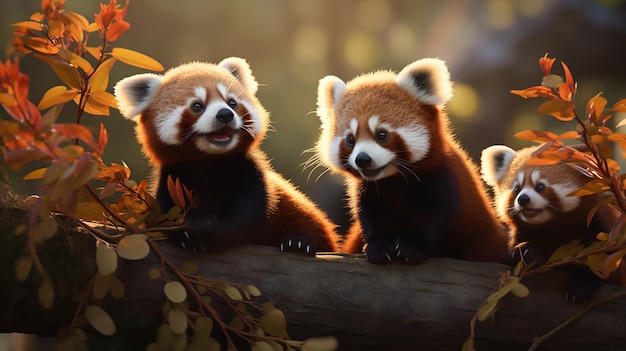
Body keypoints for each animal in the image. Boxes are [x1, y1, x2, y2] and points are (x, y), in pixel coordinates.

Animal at [111, 57, 336, 256]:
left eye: (232, 102)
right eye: (197, 106)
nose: (225, 114)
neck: (209, 163)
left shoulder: (249, 172)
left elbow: (245, 213)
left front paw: (210, 230)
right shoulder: (173, 178)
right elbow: (164, 214)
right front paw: (184, 233)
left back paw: (297, 243)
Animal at [314, 57, 510, 266]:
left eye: (381, 134)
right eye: (351, 139)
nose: (362, 159)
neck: (394, 179)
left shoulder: (441, 175)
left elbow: (437, 214)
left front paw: (413, 246)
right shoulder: (368, 189)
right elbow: (370, 215)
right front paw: (378, 246)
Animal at [480, 144, 620, 304]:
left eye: (540, 187)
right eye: (517, 189)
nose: (523, 199)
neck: (550, 227)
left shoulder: (596, 227)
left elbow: (604, 261)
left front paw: (581, 285)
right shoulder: (522, 233)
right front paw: (526, 253)